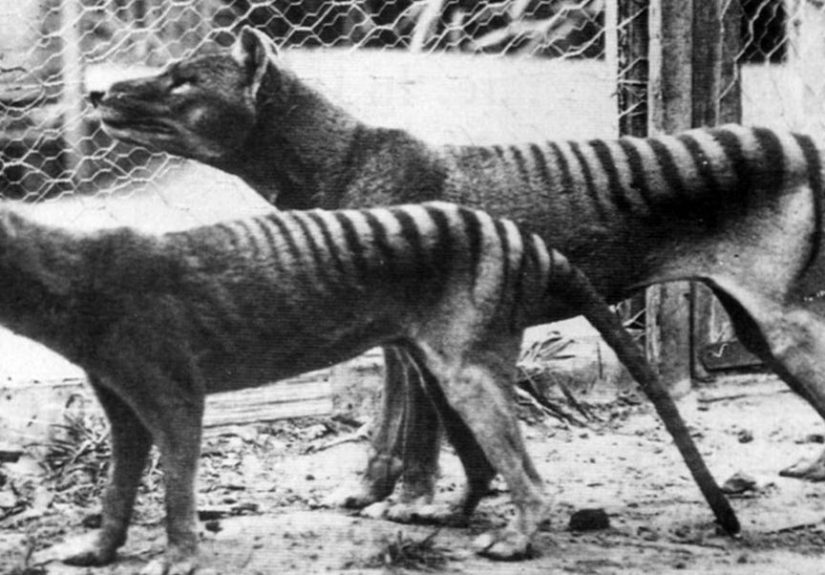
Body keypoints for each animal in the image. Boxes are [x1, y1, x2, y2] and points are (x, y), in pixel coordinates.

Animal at [0, 201, 733, 574]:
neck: (73, 273)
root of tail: (525, 237)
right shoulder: (120, 398)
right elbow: (118, 484)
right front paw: (98, 549)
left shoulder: (174, 390)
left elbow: (177, 484)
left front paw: (180, 557)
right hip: (435, 363)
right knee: (479, 463)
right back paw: (448, 513)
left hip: (466, 367)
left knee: (526, 474)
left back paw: (516, 538)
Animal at [89, 26, 825, 518]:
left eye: (183, 80)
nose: (96, 92)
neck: (345, 158)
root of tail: (801, 144)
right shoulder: (393, 333)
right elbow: (391, 424)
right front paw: (369, 490)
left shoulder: (419, 327)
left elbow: (419, 429)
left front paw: (412, 502)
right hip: (752, 323)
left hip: (780, 321)